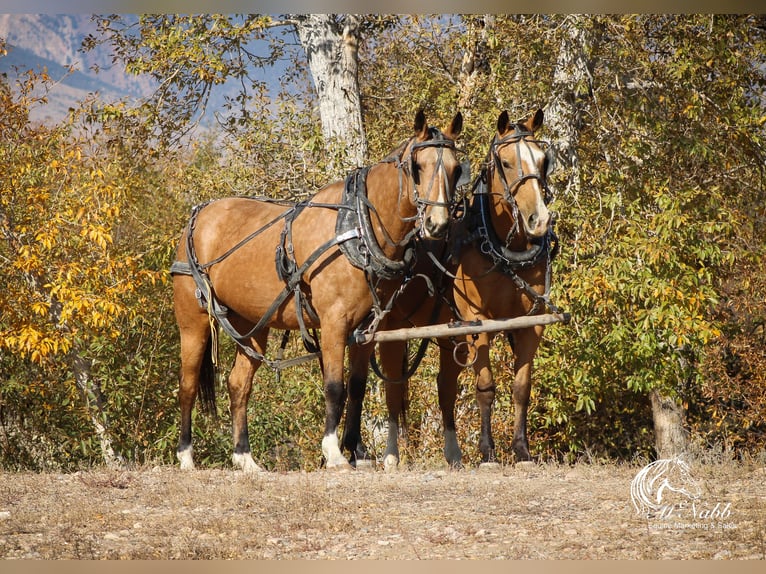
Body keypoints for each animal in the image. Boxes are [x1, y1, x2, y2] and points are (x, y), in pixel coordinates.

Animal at [171, 111, 464, 472]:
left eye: (456, 168)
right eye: (417, 167)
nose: (438, 224)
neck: (358, 228)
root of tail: (197, 217)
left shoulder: (366, 329)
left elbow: (357, 387)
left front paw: (358, 453)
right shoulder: (334, 323)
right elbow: (335, 387)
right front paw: (334, 452)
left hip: (251, 325)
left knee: (239, 384)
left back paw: (245, 458)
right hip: (193, 321)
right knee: (187, 385)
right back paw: (186, 455)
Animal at [366, 110, 560, 470]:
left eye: (543, 160)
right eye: (506, 162)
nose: (538, 221)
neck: (502, 248)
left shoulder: (532, 323)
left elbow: (521, 387)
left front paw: (522, 451)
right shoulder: (477, 321)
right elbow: (485, 387)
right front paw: (488, 452)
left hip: (448, 334)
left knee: (444, 388)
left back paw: (452, 454)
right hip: (392, 332)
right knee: (394, 390)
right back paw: (391, 454)